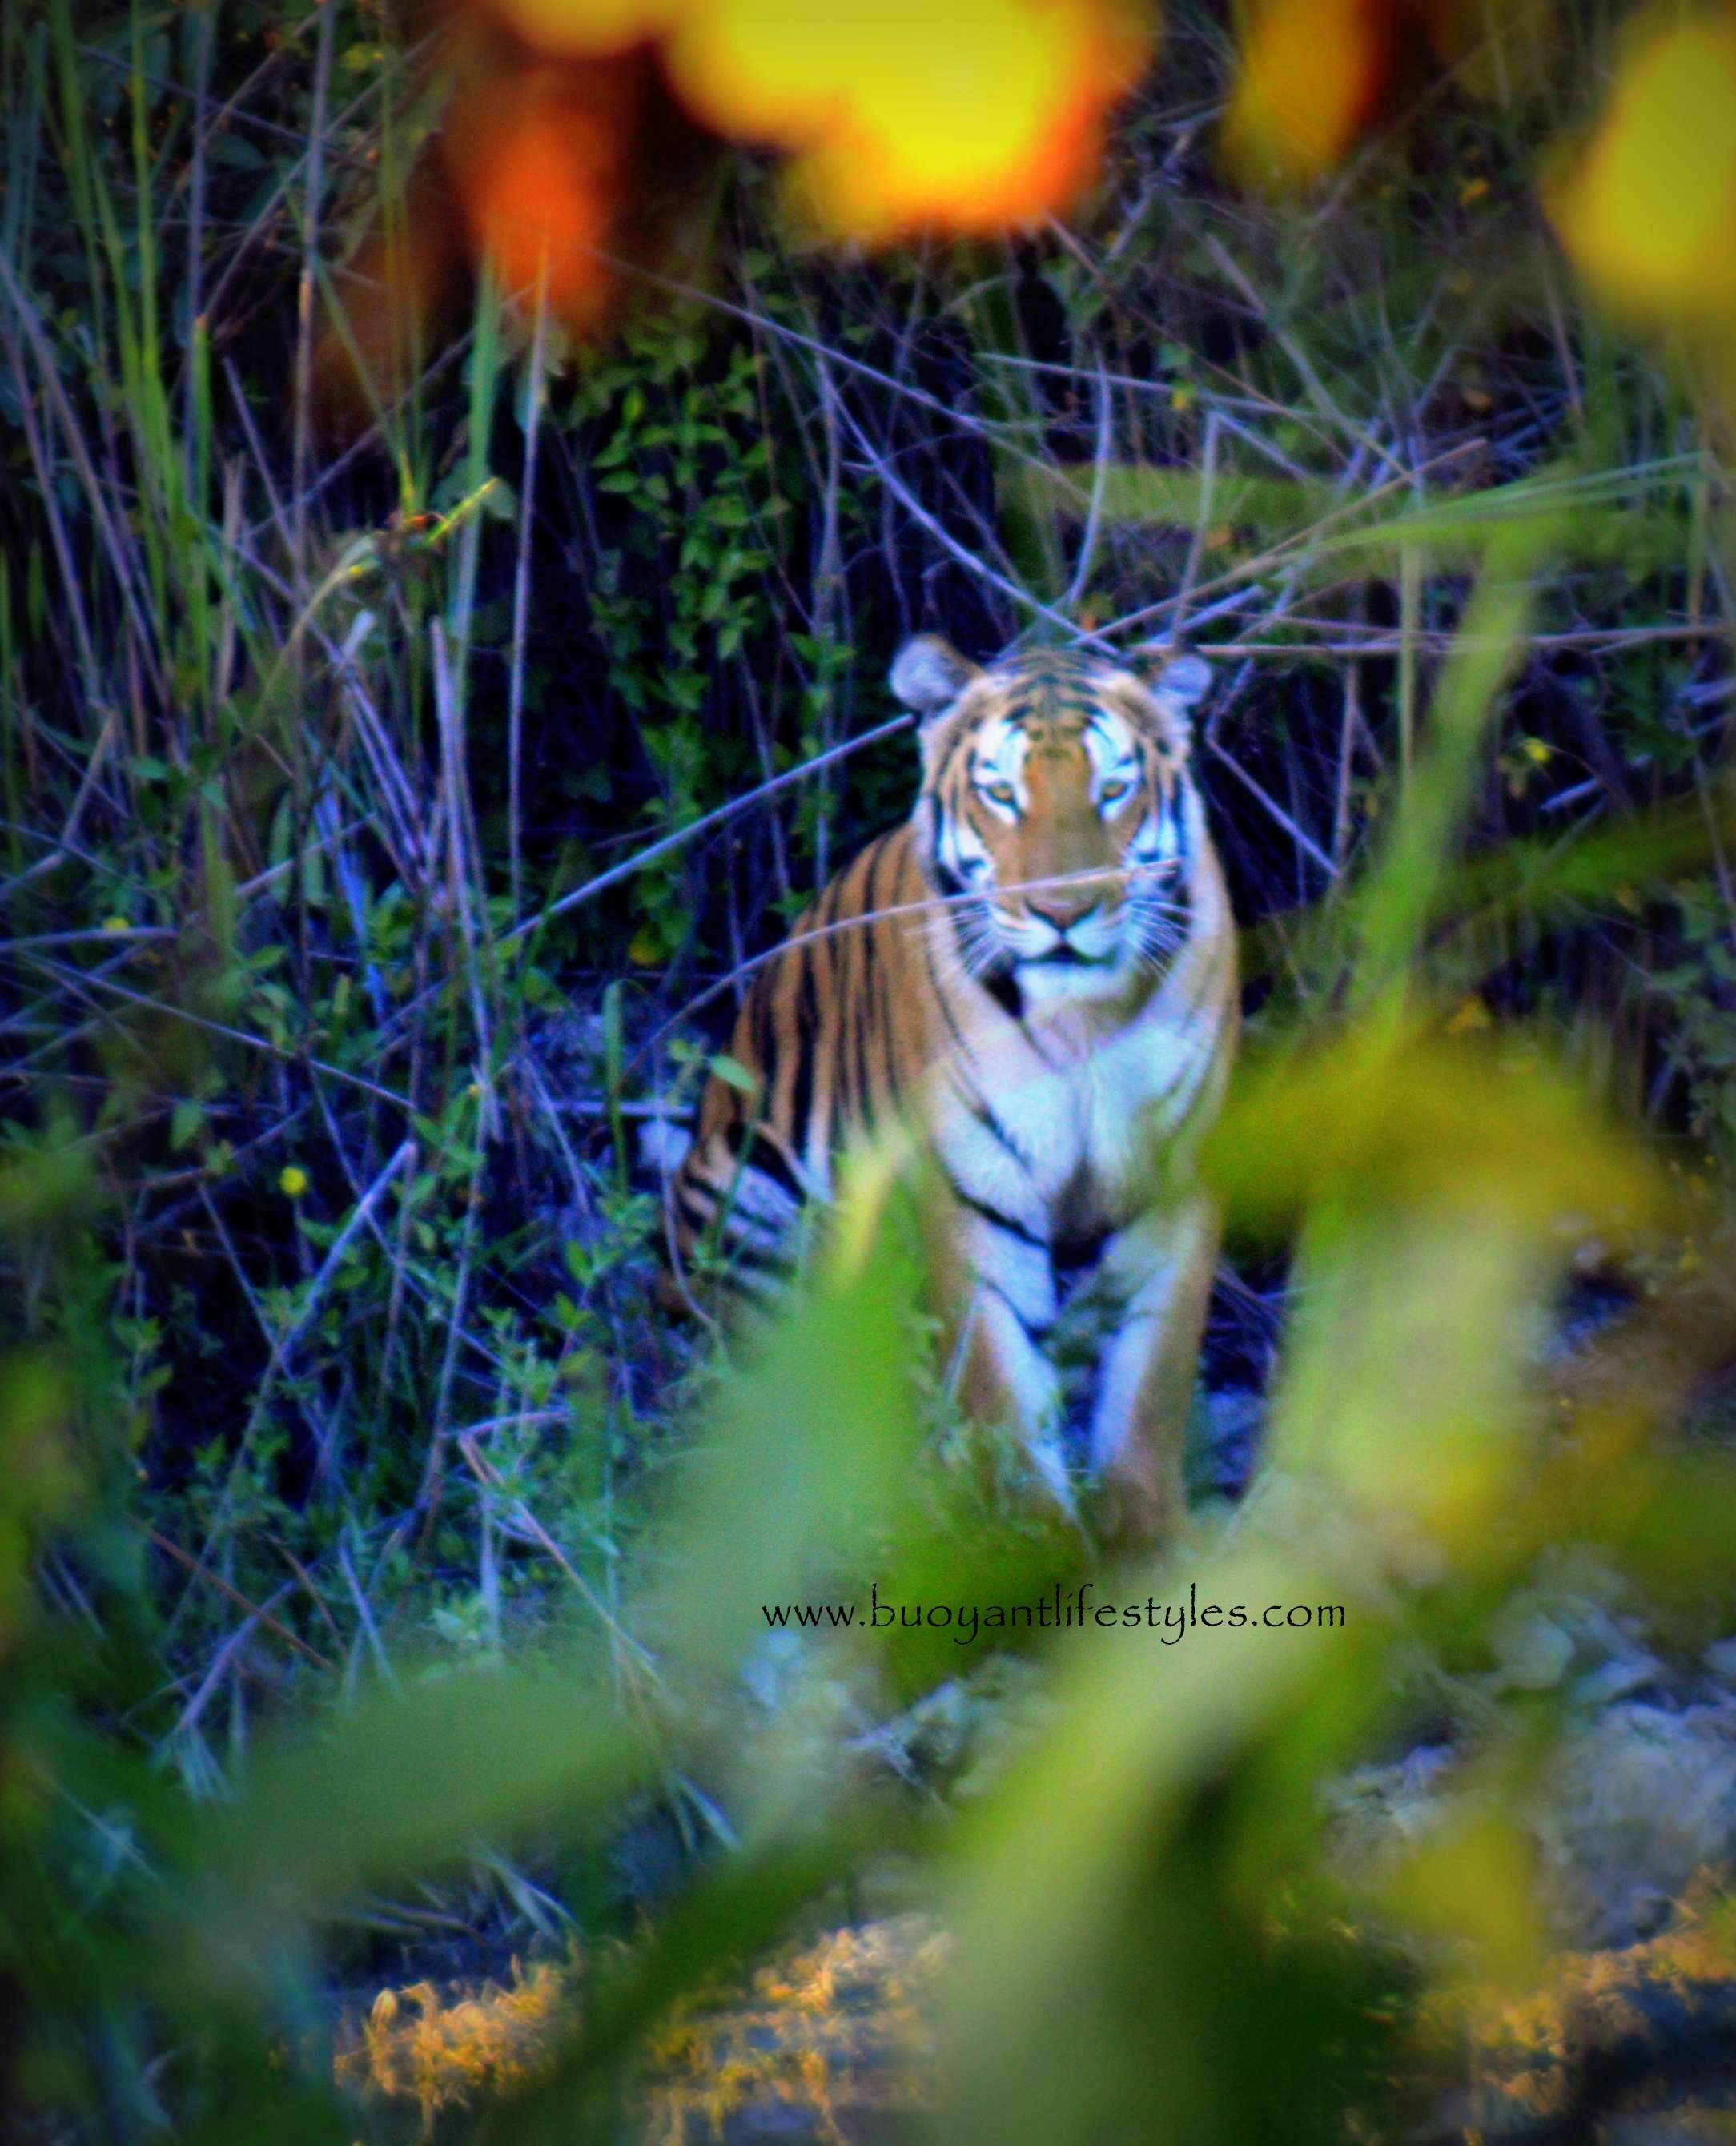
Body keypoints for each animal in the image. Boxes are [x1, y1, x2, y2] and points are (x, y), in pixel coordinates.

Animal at [657, 635, 1236, 1545]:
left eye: (1112, 790)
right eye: (1001, 794)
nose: (1061, 912)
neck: (1082, 1019)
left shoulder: (1178, 1189)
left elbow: (1149, 1398)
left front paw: (1151, 1544)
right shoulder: (965, 1198)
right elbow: (1002, 1405)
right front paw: (1036, 1554)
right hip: (743, 1200)